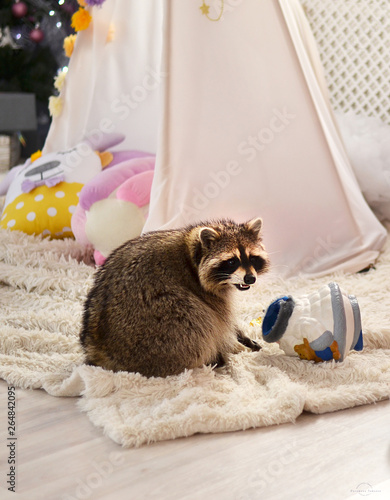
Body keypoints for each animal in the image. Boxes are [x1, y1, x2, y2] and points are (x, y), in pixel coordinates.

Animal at [79, 217, 268, 376]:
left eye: (252, 258)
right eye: (231, 261)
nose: (250, 278)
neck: (193, 251)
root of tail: (99, 349)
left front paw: (241, 336)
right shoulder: (205, 292)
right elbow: (220, 324)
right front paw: (235, 346)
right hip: (154, 324)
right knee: (197, 318)